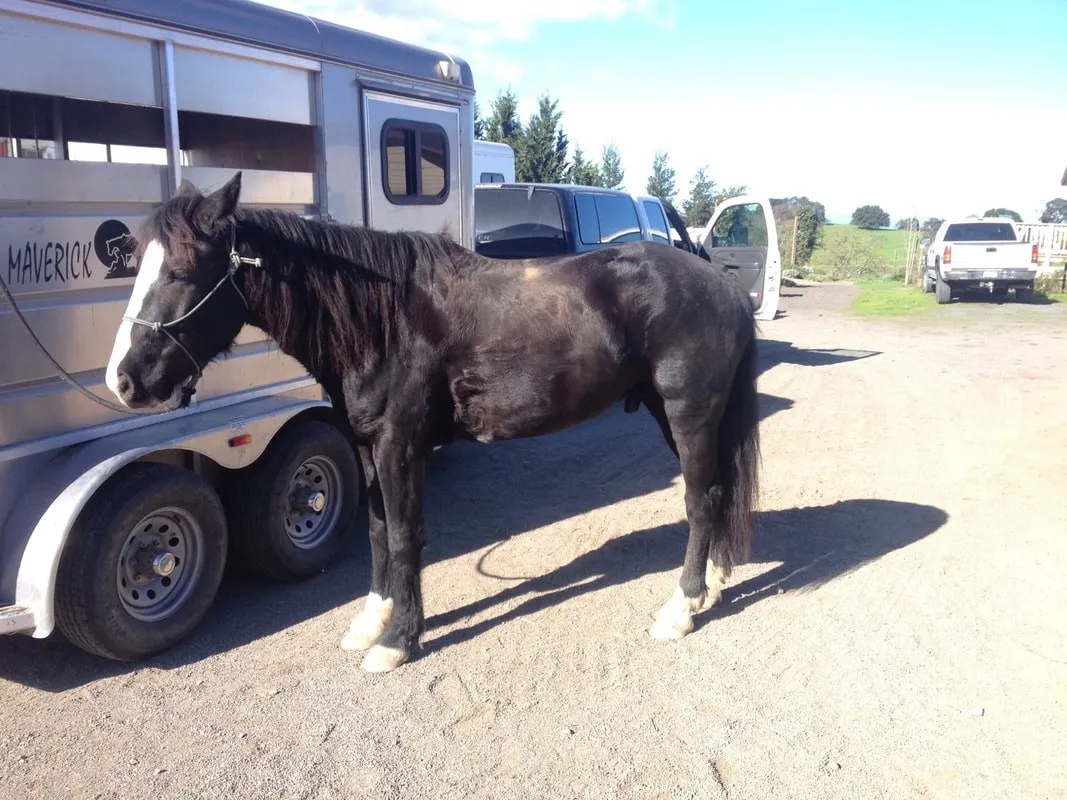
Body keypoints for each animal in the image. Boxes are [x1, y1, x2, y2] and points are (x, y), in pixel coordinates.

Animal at [104, 171, 762, 674]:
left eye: (181, 272)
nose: (123, 380)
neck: (382, 318)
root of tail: (722, 284)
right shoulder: (367, 446)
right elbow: (375, 532)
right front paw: (371, 621)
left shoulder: (401, 446)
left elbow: (403, 536)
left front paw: (398, 642)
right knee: (716, 493)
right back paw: (713, 584)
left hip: (687, 415)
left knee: (700, 500)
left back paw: (680, 608)